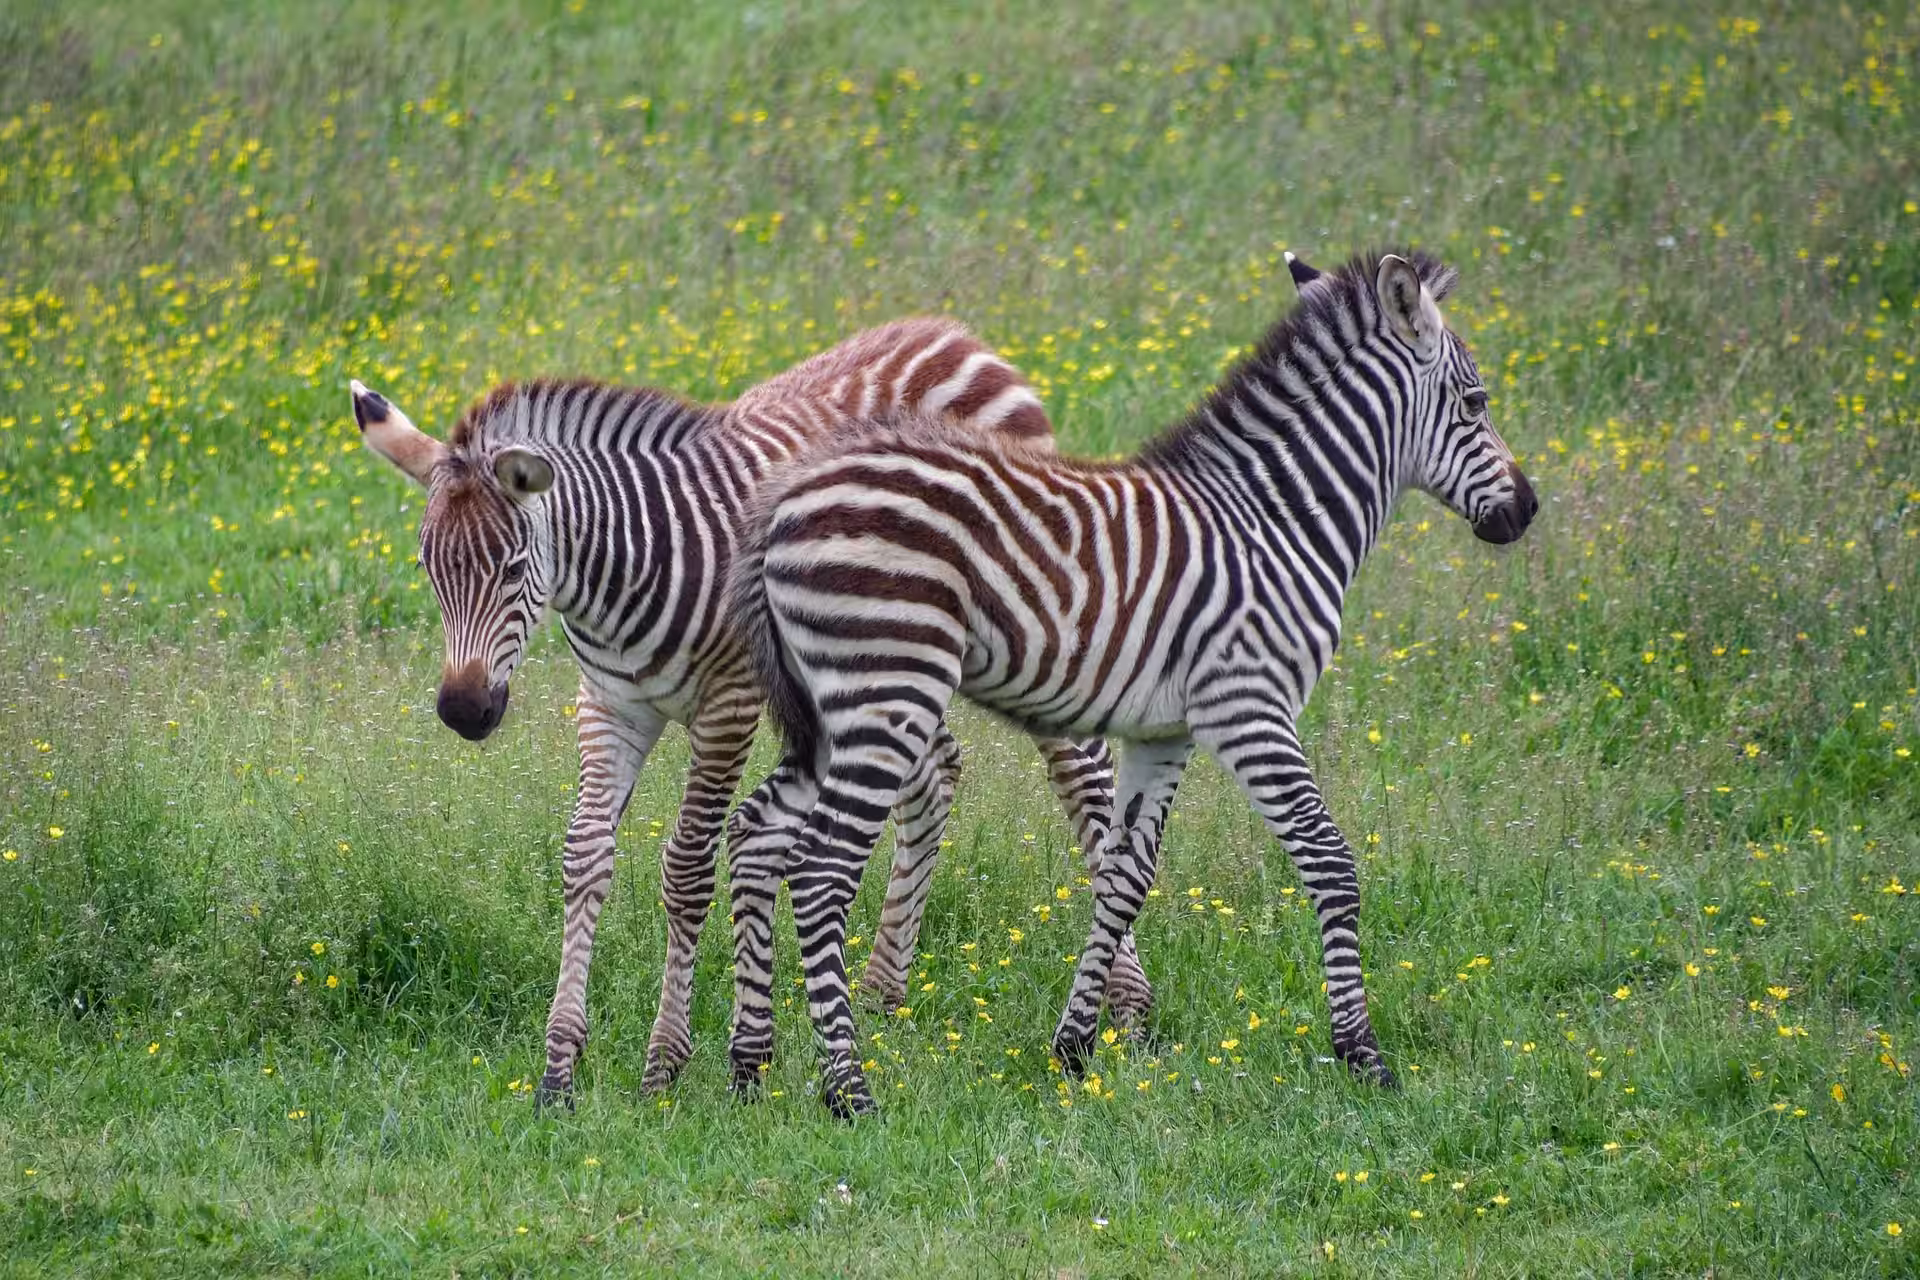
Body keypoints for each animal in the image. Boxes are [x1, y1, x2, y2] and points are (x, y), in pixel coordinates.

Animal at [346, 318, 1153, 1109]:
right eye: (427, 568)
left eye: (514, 568)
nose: (465, 711)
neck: (617, 574)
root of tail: (961, 336)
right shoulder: (610, 706)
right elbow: (584, 856)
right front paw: (559, 1072)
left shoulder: (726, 706)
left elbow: (686, 869)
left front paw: (664, 1066)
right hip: (884, 655)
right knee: (936, 775)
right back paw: (883, 992)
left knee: (1085, 785)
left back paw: (1128, 1008)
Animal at [727, 250, 1538, 1116]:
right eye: (1476, 402)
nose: (1526, 509)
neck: (1277, 522)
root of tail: (785, 498)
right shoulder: (1249, 707)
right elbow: (1329, 860)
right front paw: (1362, 1054)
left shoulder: (1165, 732)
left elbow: (1124, 878)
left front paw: (1075, 1047)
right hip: (888, 691)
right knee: (820, 872)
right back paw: (848, 1091)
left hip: (835, 707)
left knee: (754, 836)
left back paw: (748, 1067)